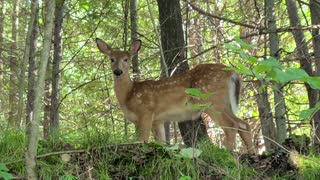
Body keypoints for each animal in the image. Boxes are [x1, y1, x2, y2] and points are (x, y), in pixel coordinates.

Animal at [96, 38, 254, 153]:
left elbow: (143, 139)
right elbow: (161, 141)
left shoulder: (146, 112)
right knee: (243, 124)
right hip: (225, 102)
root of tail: (233, 73)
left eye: (126, 59)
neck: (129, 95)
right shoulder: (158, 120)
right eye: (111, 59)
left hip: (212, 100)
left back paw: (228, 152)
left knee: (231, 125)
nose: (118, 71)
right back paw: (251, 153)